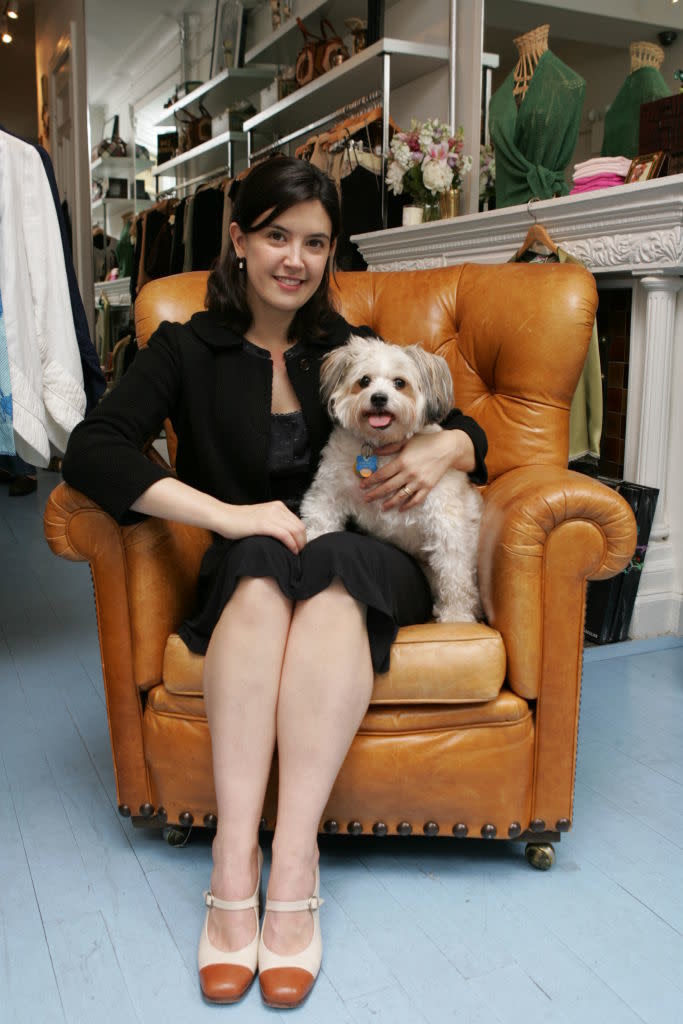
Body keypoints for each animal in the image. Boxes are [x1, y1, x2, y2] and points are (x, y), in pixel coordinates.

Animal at [301, 337, 483, 622]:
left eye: (400, 383)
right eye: (364, 381)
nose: (378, 398)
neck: (380, 449)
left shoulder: (446, 525)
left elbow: (454, 574)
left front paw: (456, 616)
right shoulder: (328, 493)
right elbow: (320, 522)